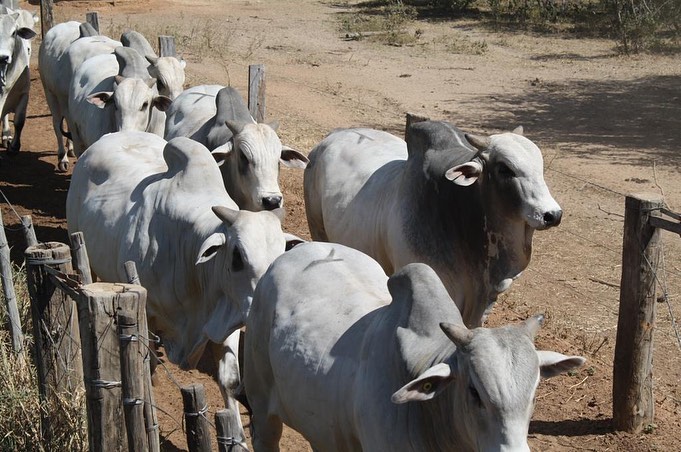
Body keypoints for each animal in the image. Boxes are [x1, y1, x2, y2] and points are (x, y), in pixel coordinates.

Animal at [67, 132, 300, 444]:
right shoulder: (146, 313)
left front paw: (237, 439)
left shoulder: (226, 313)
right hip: (82, 251)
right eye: (237, 257)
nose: (263, 306)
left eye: (279, 257)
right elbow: (146, 363)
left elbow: (230, 380)